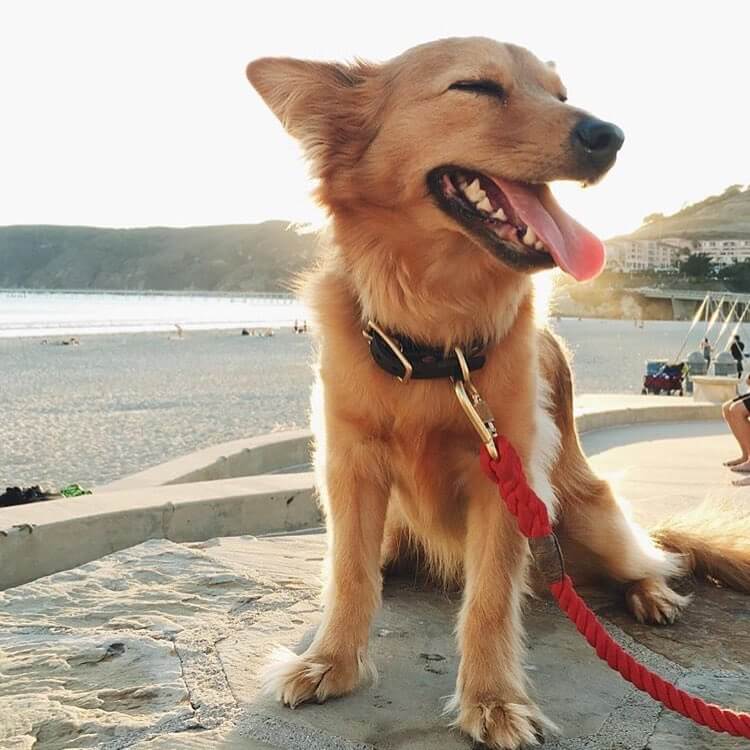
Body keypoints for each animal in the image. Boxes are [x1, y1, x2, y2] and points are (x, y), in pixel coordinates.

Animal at [247, 38, 750, 748]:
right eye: (476, 87)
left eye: (561, 95)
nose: (610, 135)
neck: (436, 344)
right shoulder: (350, 466)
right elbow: (348, 575)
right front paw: (331, 661)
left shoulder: (508, 477)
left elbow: (487, 600)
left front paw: (492, 699)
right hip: (401, 530)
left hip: (588, 515)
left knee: (651, 556)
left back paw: (652, 594)